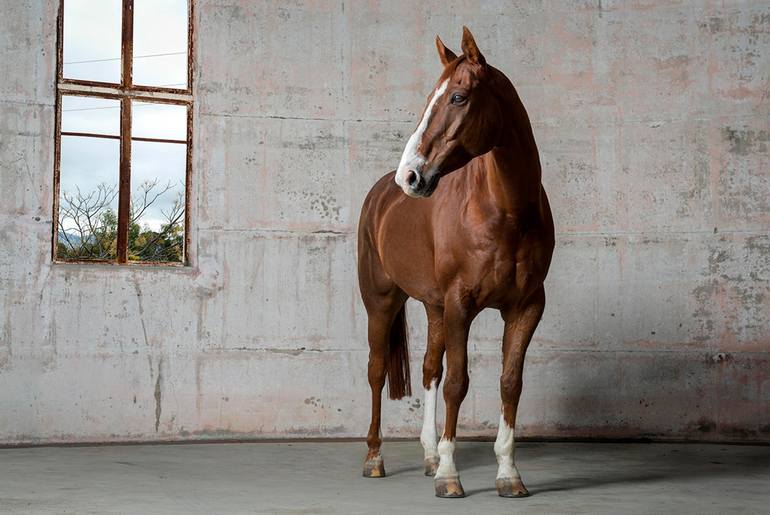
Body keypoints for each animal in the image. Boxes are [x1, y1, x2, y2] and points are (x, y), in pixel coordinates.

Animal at [356, 28, 552, 500]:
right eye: (432, 97)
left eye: (459, 97)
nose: (410, 176)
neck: (507, 211)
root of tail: (380, 195)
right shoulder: (462, 304)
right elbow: (458, 384)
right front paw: (449, 475)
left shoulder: (526, 308)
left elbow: (509, 382)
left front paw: (508, 475)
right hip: (382, 302)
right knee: (376, 371)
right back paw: (375, 459)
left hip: (434, 307)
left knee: (430, 369)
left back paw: (428, 455)